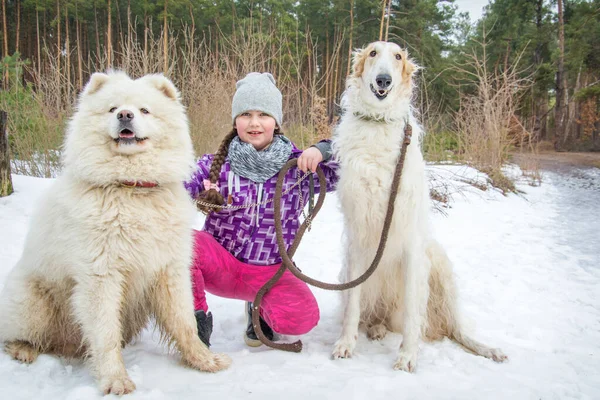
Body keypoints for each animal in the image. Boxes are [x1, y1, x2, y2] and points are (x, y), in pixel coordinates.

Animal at [0, 71, 230, 394]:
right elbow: (105, 333)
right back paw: (23, 349)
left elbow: (184, 322)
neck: (132, 187)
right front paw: (115, 380)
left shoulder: (169, 269)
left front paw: (204, 360)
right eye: (112, 109)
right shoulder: (101, 274)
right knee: (18, 335)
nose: (125, 115)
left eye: (144, 110)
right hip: (34, 304)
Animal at [330, 41, 508, 372]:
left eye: (398, 56)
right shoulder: (359, 238)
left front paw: (407, 356)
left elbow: (414, 312)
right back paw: (375, 328)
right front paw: (346, 344)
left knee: (454, 328)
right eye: (373, 53)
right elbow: (352, 309)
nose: (384, 80)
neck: (379, 123)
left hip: (438, 263)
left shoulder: (412, 242)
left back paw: (488, 348)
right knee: (371, 314)